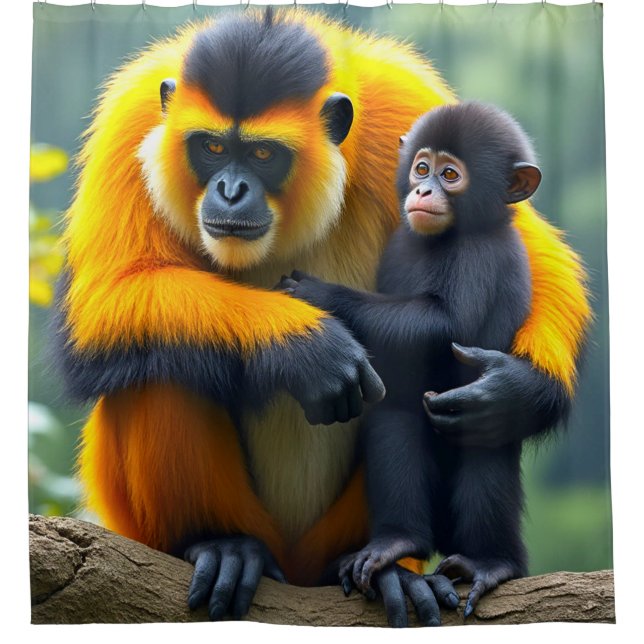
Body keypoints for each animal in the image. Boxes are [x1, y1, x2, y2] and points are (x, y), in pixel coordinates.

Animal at [279, 101, 548, 624]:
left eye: (451, 175)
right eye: (422, 169)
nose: (424, 190)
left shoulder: (480, 255)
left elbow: (446, 327)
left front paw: (320, 294)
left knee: (482, 445)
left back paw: (493, 561)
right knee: (394, 415)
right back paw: (398, 542)